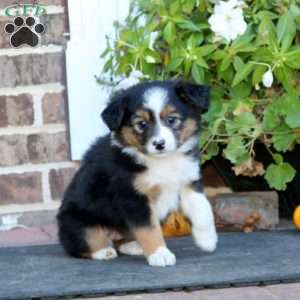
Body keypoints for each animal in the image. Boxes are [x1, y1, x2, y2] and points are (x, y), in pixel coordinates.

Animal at [57, 80, 218, 268]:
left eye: (171, 120)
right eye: (141, 124)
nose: (159, 144)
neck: (163, 161)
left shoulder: (188, 181)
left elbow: (203, 208)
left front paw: (207, 240)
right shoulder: (133, 197)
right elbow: (148, 228)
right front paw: (160, 254)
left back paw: (133, 246)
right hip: (78, 223)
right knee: (80, 244)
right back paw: (103, 251)